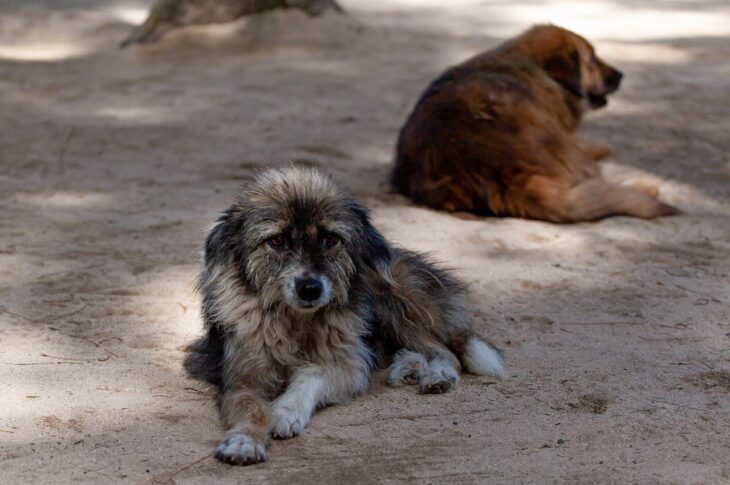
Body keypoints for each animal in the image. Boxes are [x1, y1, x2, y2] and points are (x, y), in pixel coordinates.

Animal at [185, 166, 504, 466]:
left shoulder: (349, 364)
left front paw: (286, 411)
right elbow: (249, 408)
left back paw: (436, 375)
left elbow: (312, 374)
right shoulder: (241, 376)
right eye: (277, 241)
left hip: (392, 303)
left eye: (330, 239)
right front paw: (245, 441)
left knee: (445, 351)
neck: (296, 323)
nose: (310, 289)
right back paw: (407, 366)